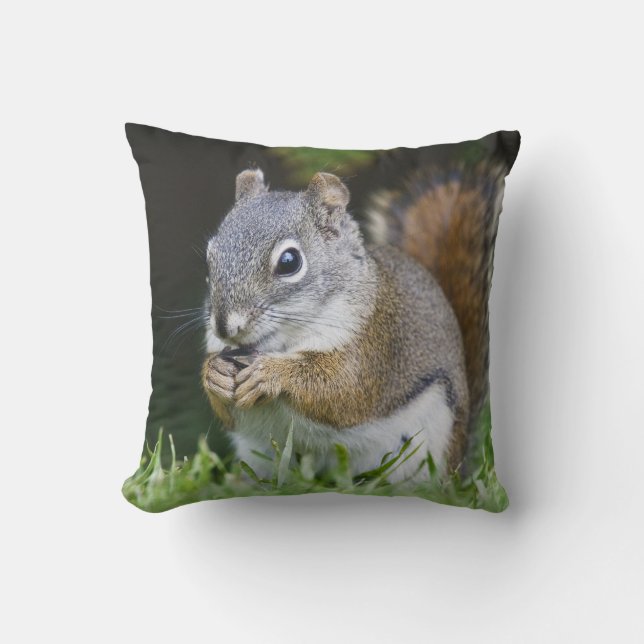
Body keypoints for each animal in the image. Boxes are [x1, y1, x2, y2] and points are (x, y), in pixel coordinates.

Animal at [201, 137, 518, 482]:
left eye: (289, 262)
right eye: (210, 256)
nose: (224, 326)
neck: (283, 342)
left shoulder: (374, 347)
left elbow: (342, 391)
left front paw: (270, 373)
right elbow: (228, 413)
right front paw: (213, 374)